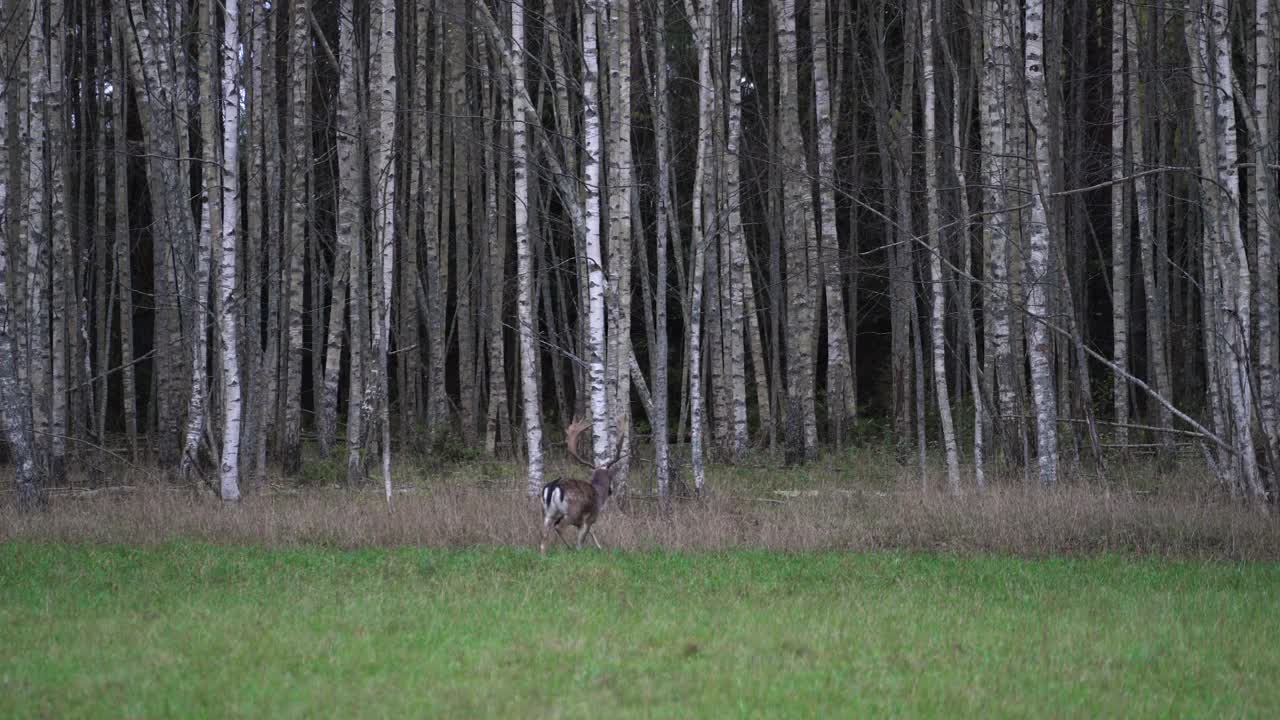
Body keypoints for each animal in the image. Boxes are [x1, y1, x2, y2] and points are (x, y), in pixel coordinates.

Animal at [537, 412, 627, 550]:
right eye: (610, 477)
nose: (611, 490)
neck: (599, 493)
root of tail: (553, 486)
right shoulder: (588, 519)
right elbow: (581, 540)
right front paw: (582, 549)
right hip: (572, 511)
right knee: (559, 527)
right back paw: (570, 548)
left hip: (547, 512)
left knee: (543, 534)